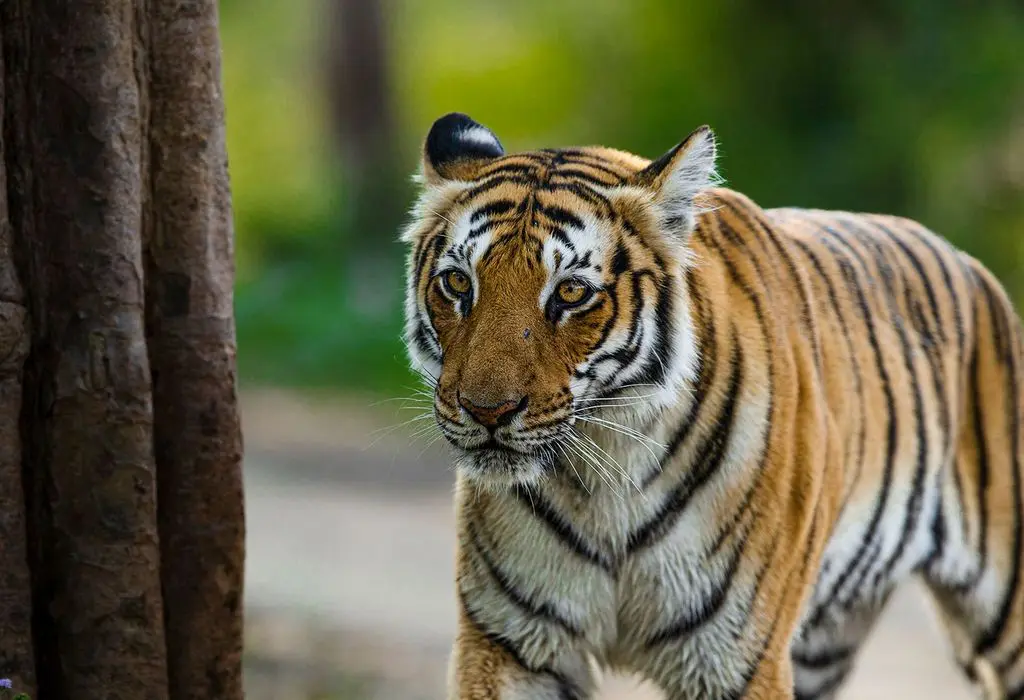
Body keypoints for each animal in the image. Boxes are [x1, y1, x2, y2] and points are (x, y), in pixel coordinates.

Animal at [399, 112, 1024, 695]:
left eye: (572, 293)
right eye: (458, 284)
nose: (486, 412)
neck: (605, 476)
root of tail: (970, 265)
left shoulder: (736, 659)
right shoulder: (511, 646)